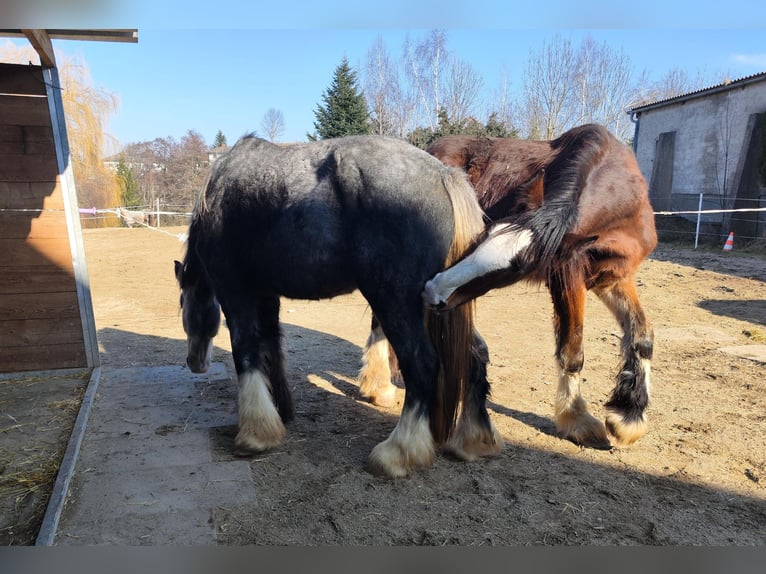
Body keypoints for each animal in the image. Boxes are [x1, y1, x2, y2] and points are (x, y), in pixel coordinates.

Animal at [175, 134, 502, 478]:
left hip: (396, 301)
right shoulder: (266, 296)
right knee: (476, 353)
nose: (194, 362)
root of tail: (443, 174)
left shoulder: (235, 292)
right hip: (441, 300)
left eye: (183, 303)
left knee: (422, 364)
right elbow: (271, 349)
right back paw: (475, 441)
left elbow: (247, 352)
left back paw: (398, 454)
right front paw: (280, 411)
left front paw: (255, 435)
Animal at [361, 124, 657, 450]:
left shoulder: (613, 278)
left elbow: (642, 336)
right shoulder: (567, 274)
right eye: (483, 236)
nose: (434, 291)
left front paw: (629, 417)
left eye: (518, 265)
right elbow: (572, 349)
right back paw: (380, 385)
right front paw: (578, 420)